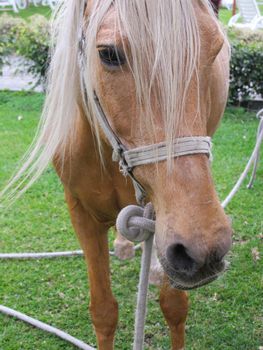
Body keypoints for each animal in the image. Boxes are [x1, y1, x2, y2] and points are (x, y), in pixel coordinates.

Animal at [2, 0, 233, 350]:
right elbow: (103, 311)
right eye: (108, 54)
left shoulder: (165, 216)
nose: (206, 247)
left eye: (216, 47)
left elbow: (175, 307)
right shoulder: (81, 213)